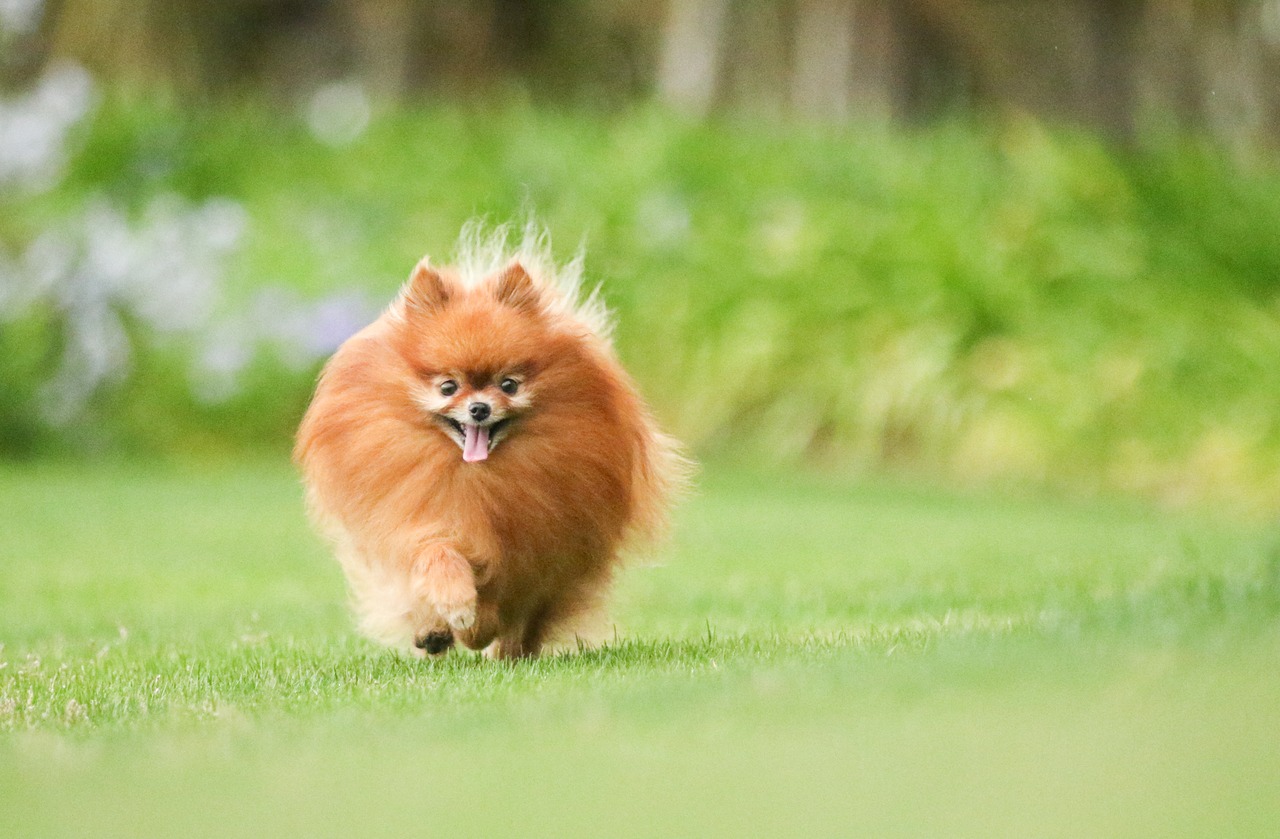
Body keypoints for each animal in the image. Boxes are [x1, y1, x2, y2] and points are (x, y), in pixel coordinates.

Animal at [294, 226, 691, 660]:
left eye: (509, 385)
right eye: (448, 387)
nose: (480, 408)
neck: (475, 477)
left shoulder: (530, 559)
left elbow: (502, 608)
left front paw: (476, 628)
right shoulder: (417, 523)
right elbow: (437, 556)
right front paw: (456, 607)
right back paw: (435, 632)